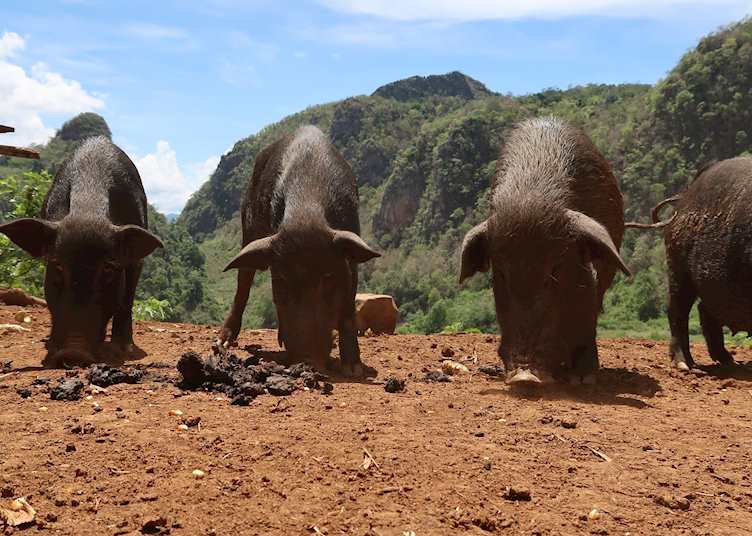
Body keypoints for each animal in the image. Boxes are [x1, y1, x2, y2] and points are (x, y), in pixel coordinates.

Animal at [0, 136, 163, 367]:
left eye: (108, 268)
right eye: (57, 265)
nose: (74, 353)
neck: (87, 209)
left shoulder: (136, 261)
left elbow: (126, 300)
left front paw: (123, 350)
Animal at [220, 125, 380, 377]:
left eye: (328, 277)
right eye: (283, 280)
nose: (309, 359)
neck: (306, 211)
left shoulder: (350, 253)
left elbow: (347, 310)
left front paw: (353, 369)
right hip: (249, 224)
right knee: (243, 280)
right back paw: (224, 342)